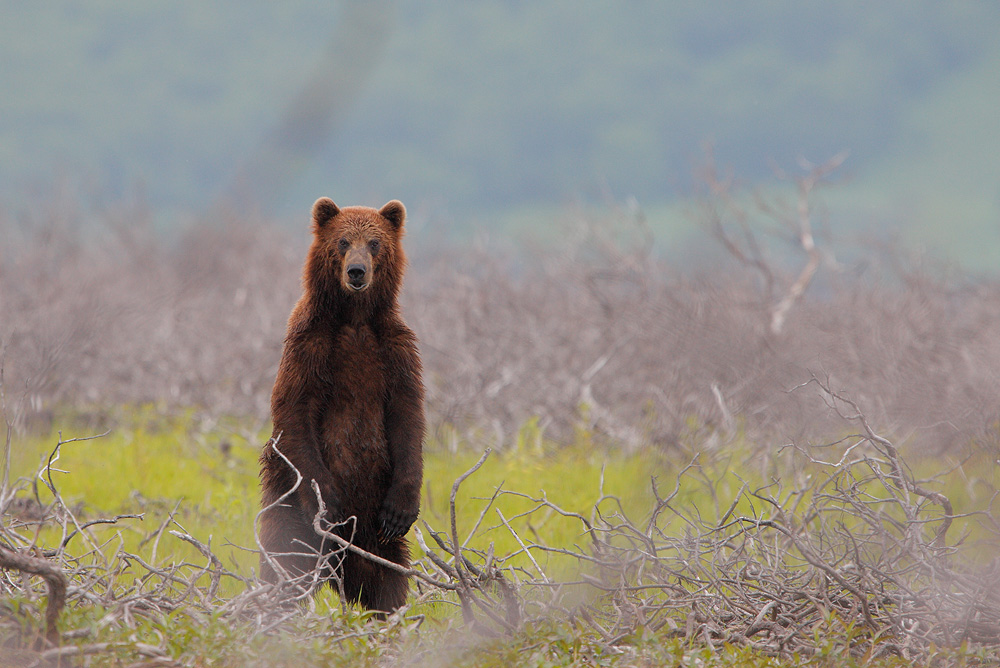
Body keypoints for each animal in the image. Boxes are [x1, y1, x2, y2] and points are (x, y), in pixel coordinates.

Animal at [256, 198, 424, 616]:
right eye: (343, 241)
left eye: (375, 243)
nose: (357, 271)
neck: (355, 318)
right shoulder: (309, 347)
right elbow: (295, 412)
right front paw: (328, 501)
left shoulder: (395, 351)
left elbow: (408, 417)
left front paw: (402, 509)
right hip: (288, 503)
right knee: (286, 560)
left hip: (372, 513)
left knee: (386, 569)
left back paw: (386, 611)